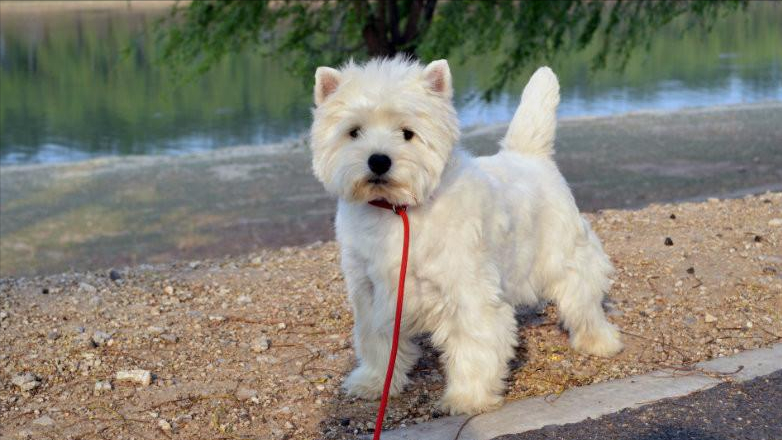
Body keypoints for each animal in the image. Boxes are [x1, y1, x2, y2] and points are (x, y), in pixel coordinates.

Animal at [310, 56, 620, 414]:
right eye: (354, 132)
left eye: (407, 133)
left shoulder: (467, 291)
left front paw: (467, 398)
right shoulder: (372, 293)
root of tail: (530, 156)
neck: (397, 211)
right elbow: (375, 339)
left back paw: (601, 342)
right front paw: (373, 381)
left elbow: (475, 343)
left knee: (583, 302)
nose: (378, 161)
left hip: (568, 256)